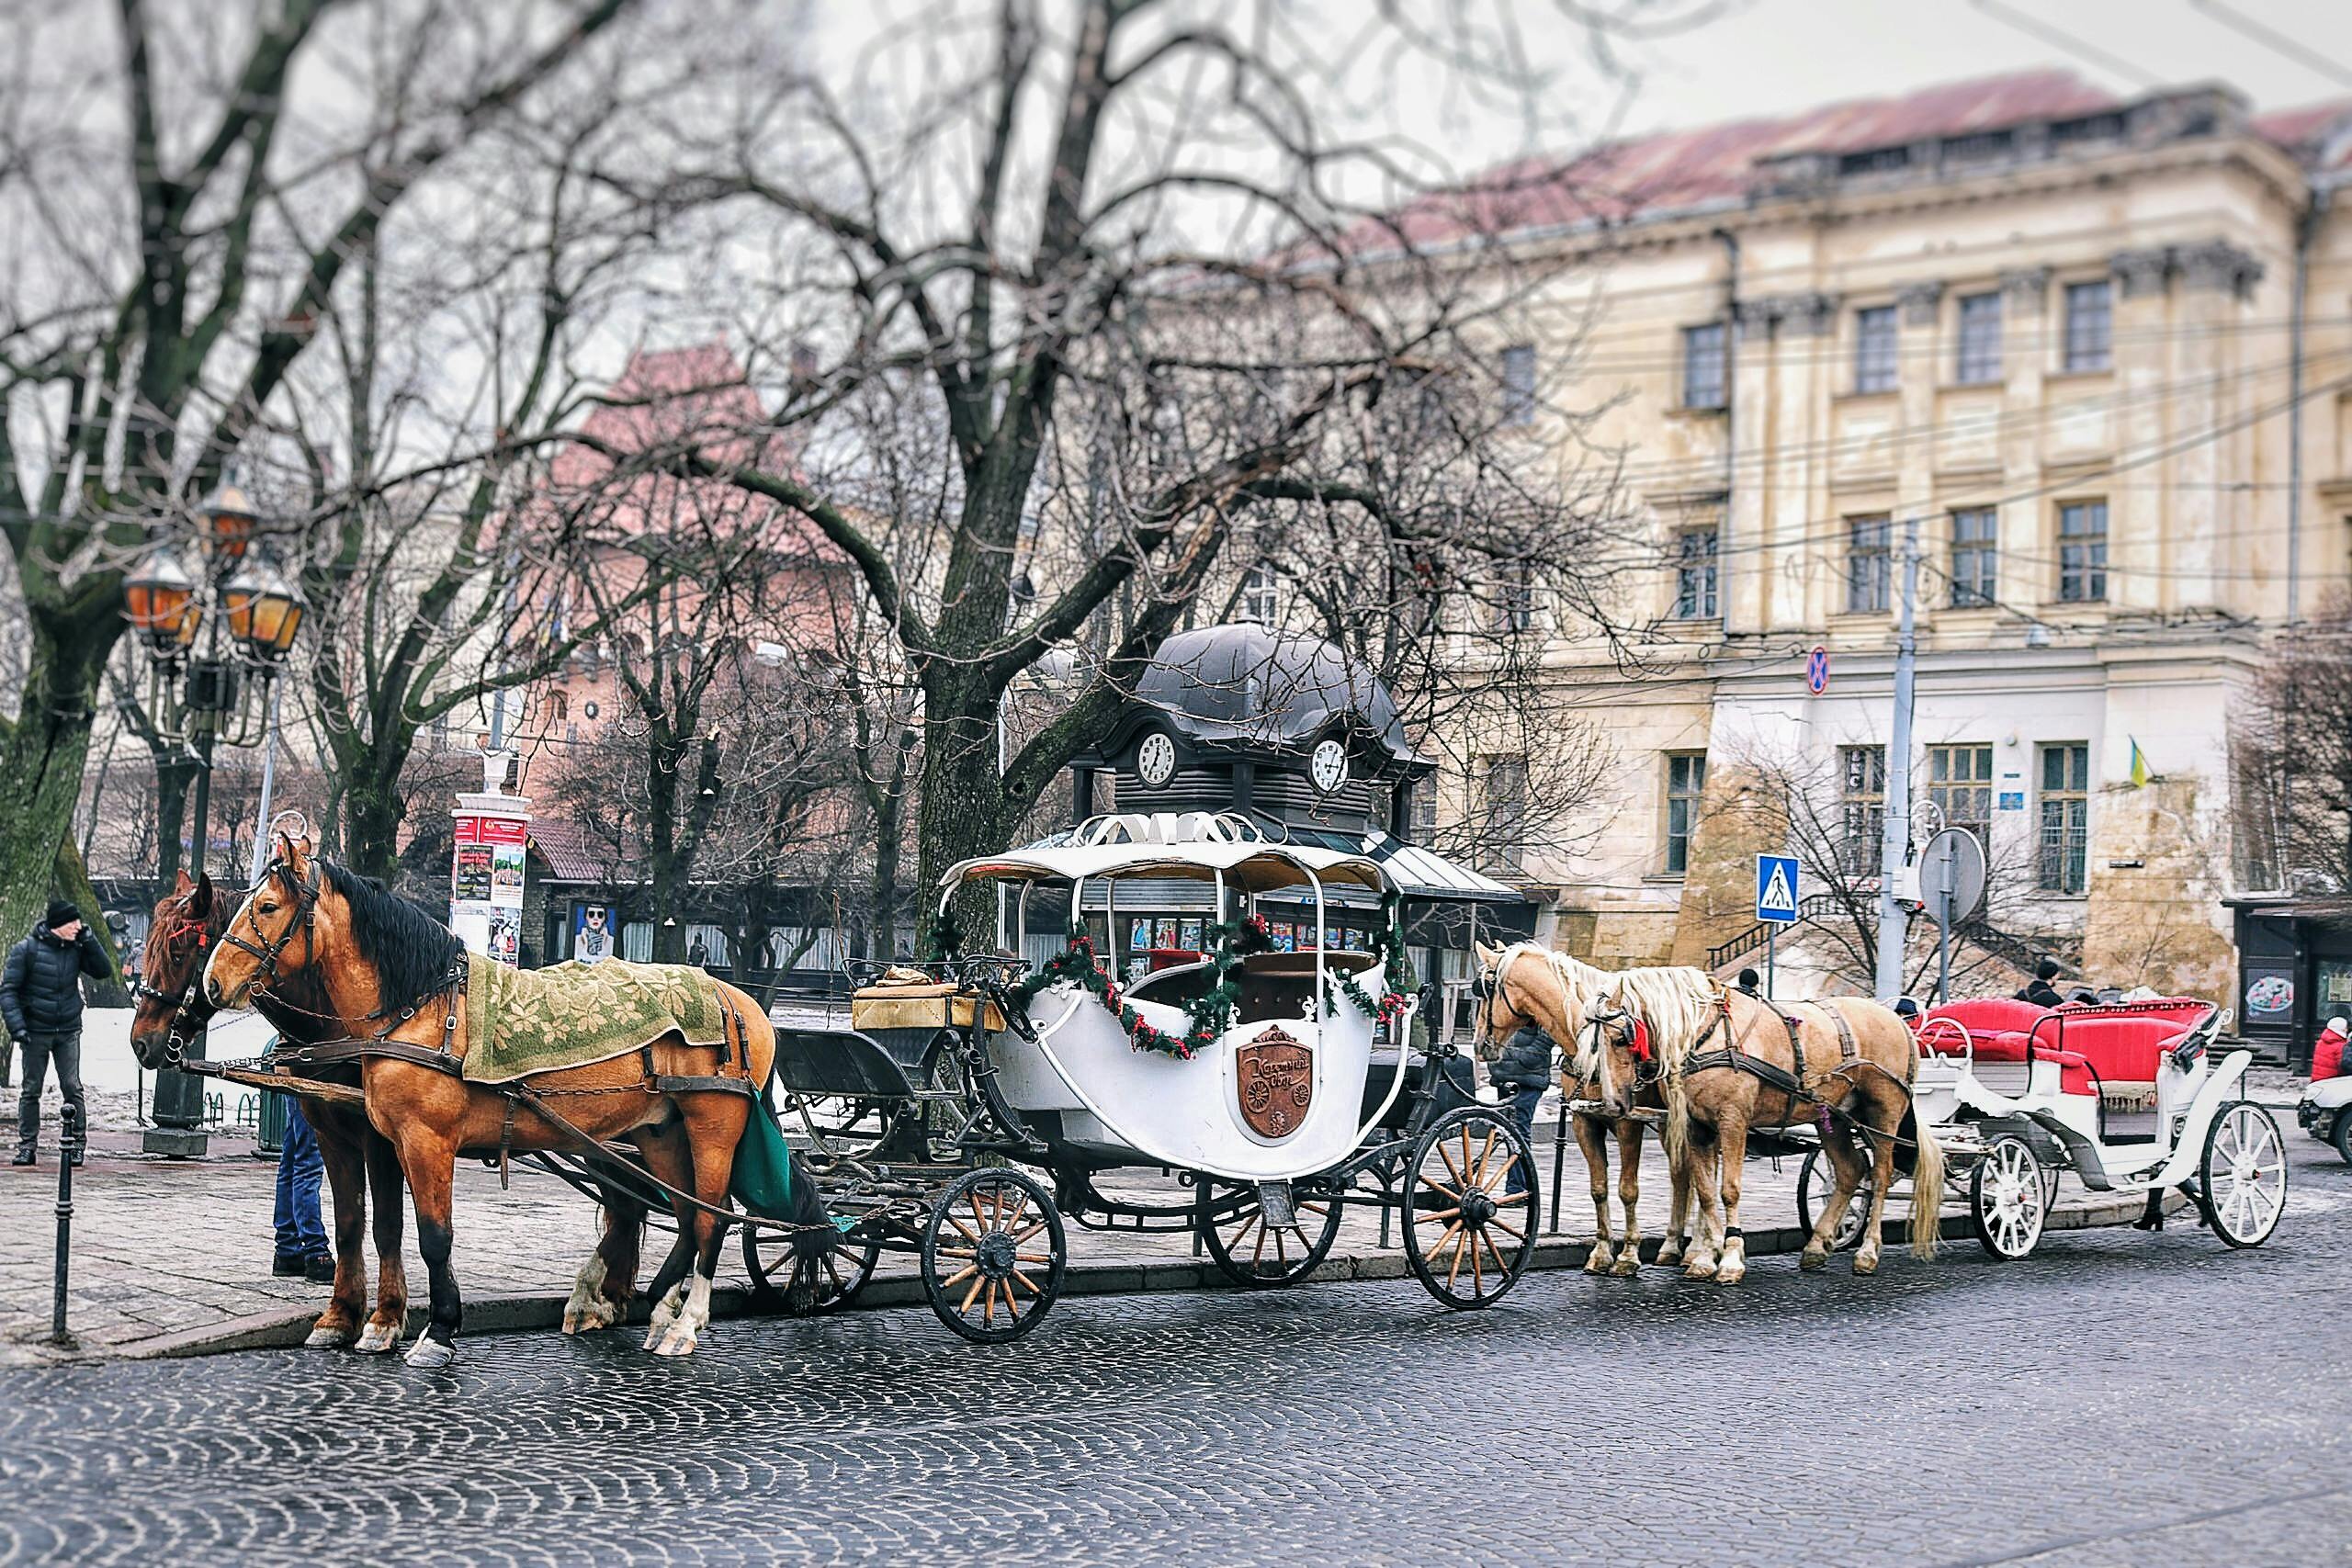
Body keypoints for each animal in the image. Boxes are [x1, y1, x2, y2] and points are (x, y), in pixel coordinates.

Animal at [130, 879, 662, 1354]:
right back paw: (605, 1298)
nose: (142, 1042)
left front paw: (387, 1318)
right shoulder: (332, 1134)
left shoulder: (385, 1140)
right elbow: (350, 1222)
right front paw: (341, 1314)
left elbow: (390, 1224)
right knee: (627, 1206)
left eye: (178, 951)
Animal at [199, 841, 780, 1363]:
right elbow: (370, 1223)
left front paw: (437, 1329)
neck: (421, 1009)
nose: (212, 983)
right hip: (655, 1132)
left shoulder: (424, 1141)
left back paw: (685, 1323)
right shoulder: (381, 1140)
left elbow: (433, 1236)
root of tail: (739, 1001)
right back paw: (654, 1312)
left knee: (712, 1221)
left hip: (711, 1130)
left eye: (266, 907)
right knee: (682, 1215)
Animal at [1467, 944, 1712, 1279]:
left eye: (1485, 992)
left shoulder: (1627, 1123)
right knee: (1683, 1174)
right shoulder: (1585, 1122)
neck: (1591, 1042)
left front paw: (1628, 1255)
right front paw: (1602, 1253)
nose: (1479, 1044)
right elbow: (1599, 1188)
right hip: (1670, 1123)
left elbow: (1628, 1190)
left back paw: (1701, 1248)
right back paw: (1675, 1246)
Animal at [1580, 968, 1947, 1288]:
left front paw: (1730, 1257)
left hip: (1884, 1114)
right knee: (1850, 1171)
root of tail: (1896, 1020)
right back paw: (1816, 1246)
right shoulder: (1698, 1128)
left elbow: (1729, 1190)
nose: (1612, 1104)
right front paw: (1705, 1258)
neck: (1708, 1034)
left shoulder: (1733, 1121)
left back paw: (1867, 1253)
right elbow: (1706, 1191)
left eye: (1620, 1038)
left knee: (1879, 1177)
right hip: (1834, 1119)